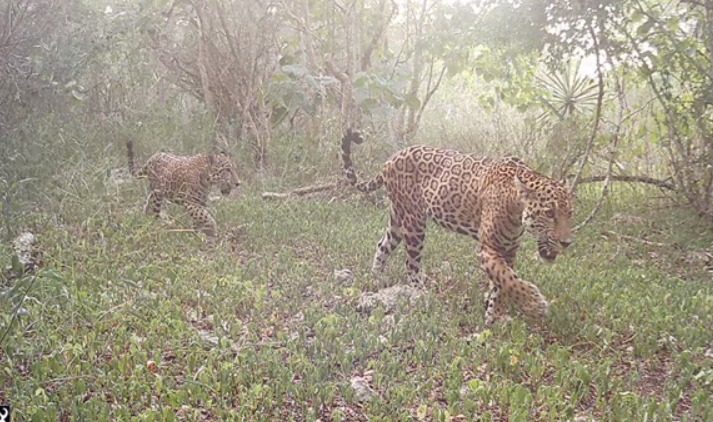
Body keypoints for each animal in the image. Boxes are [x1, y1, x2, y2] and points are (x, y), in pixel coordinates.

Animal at [347, 145, 574, 325]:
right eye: (549, 213)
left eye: (570, 213)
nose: (567, 243)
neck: (516, 206)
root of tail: (392, 158)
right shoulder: (488, 247)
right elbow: (509, 280)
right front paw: (536, 304)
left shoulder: (509, 250)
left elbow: (502, 284)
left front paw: (495, 315)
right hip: (414, 222)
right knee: (411, 264)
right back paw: (422, 294)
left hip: (398, 218)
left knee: (382, 245)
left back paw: (377, 278)